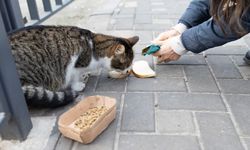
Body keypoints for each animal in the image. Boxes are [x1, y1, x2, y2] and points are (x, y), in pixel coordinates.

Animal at [9, 25, 139, 108]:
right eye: (126, 64)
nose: (128, 71)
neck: (94, 47)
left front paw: (92, 72)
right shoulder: (76, 64)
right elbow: (76, 76)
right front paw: (79, 84)